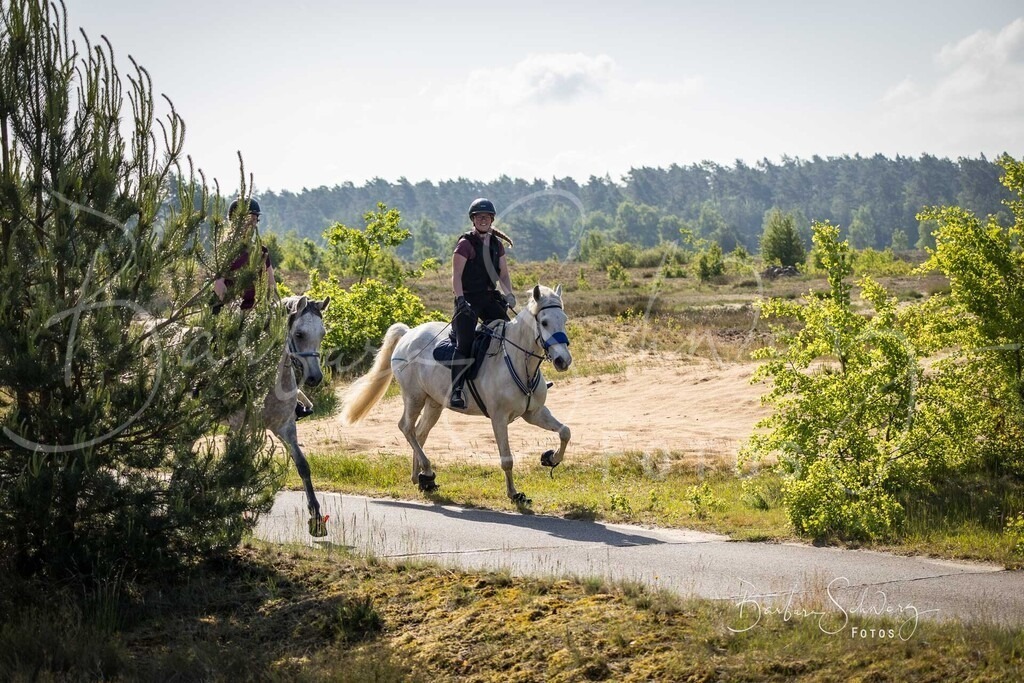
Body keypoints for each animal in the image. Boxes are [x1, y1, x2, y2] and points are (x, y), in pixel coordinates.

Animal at [341, 284, 572, 505]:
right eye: (544, 322)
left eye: (564, 320)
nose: (563, 360)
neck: (519, 361)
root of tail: (408, 334)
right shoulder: (498, 418)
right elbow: (507, 460)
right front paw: (515, 495)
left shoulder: (534, 413)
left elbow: (565, 432)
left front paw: (550, 458)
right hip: (414, 397)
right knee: (406, 428)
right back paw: (427, 471)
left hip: (434, 403)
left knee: (420, 432)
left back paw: (422, 479)